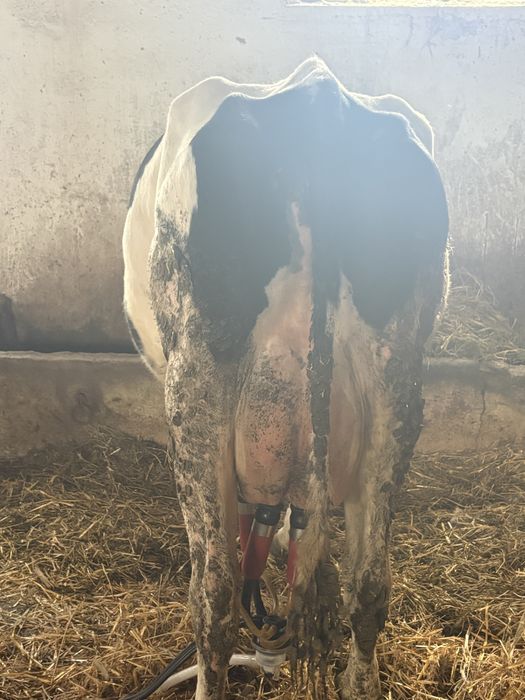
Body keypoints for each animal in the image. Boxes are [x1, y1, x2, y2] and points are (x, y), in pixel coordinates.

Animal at [122, 57, 448, 699]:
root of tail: (320, 97)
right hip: (397, 382)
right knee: (369, 587)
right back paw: (360, 680)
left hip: (195, 387)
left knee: (214, 594)